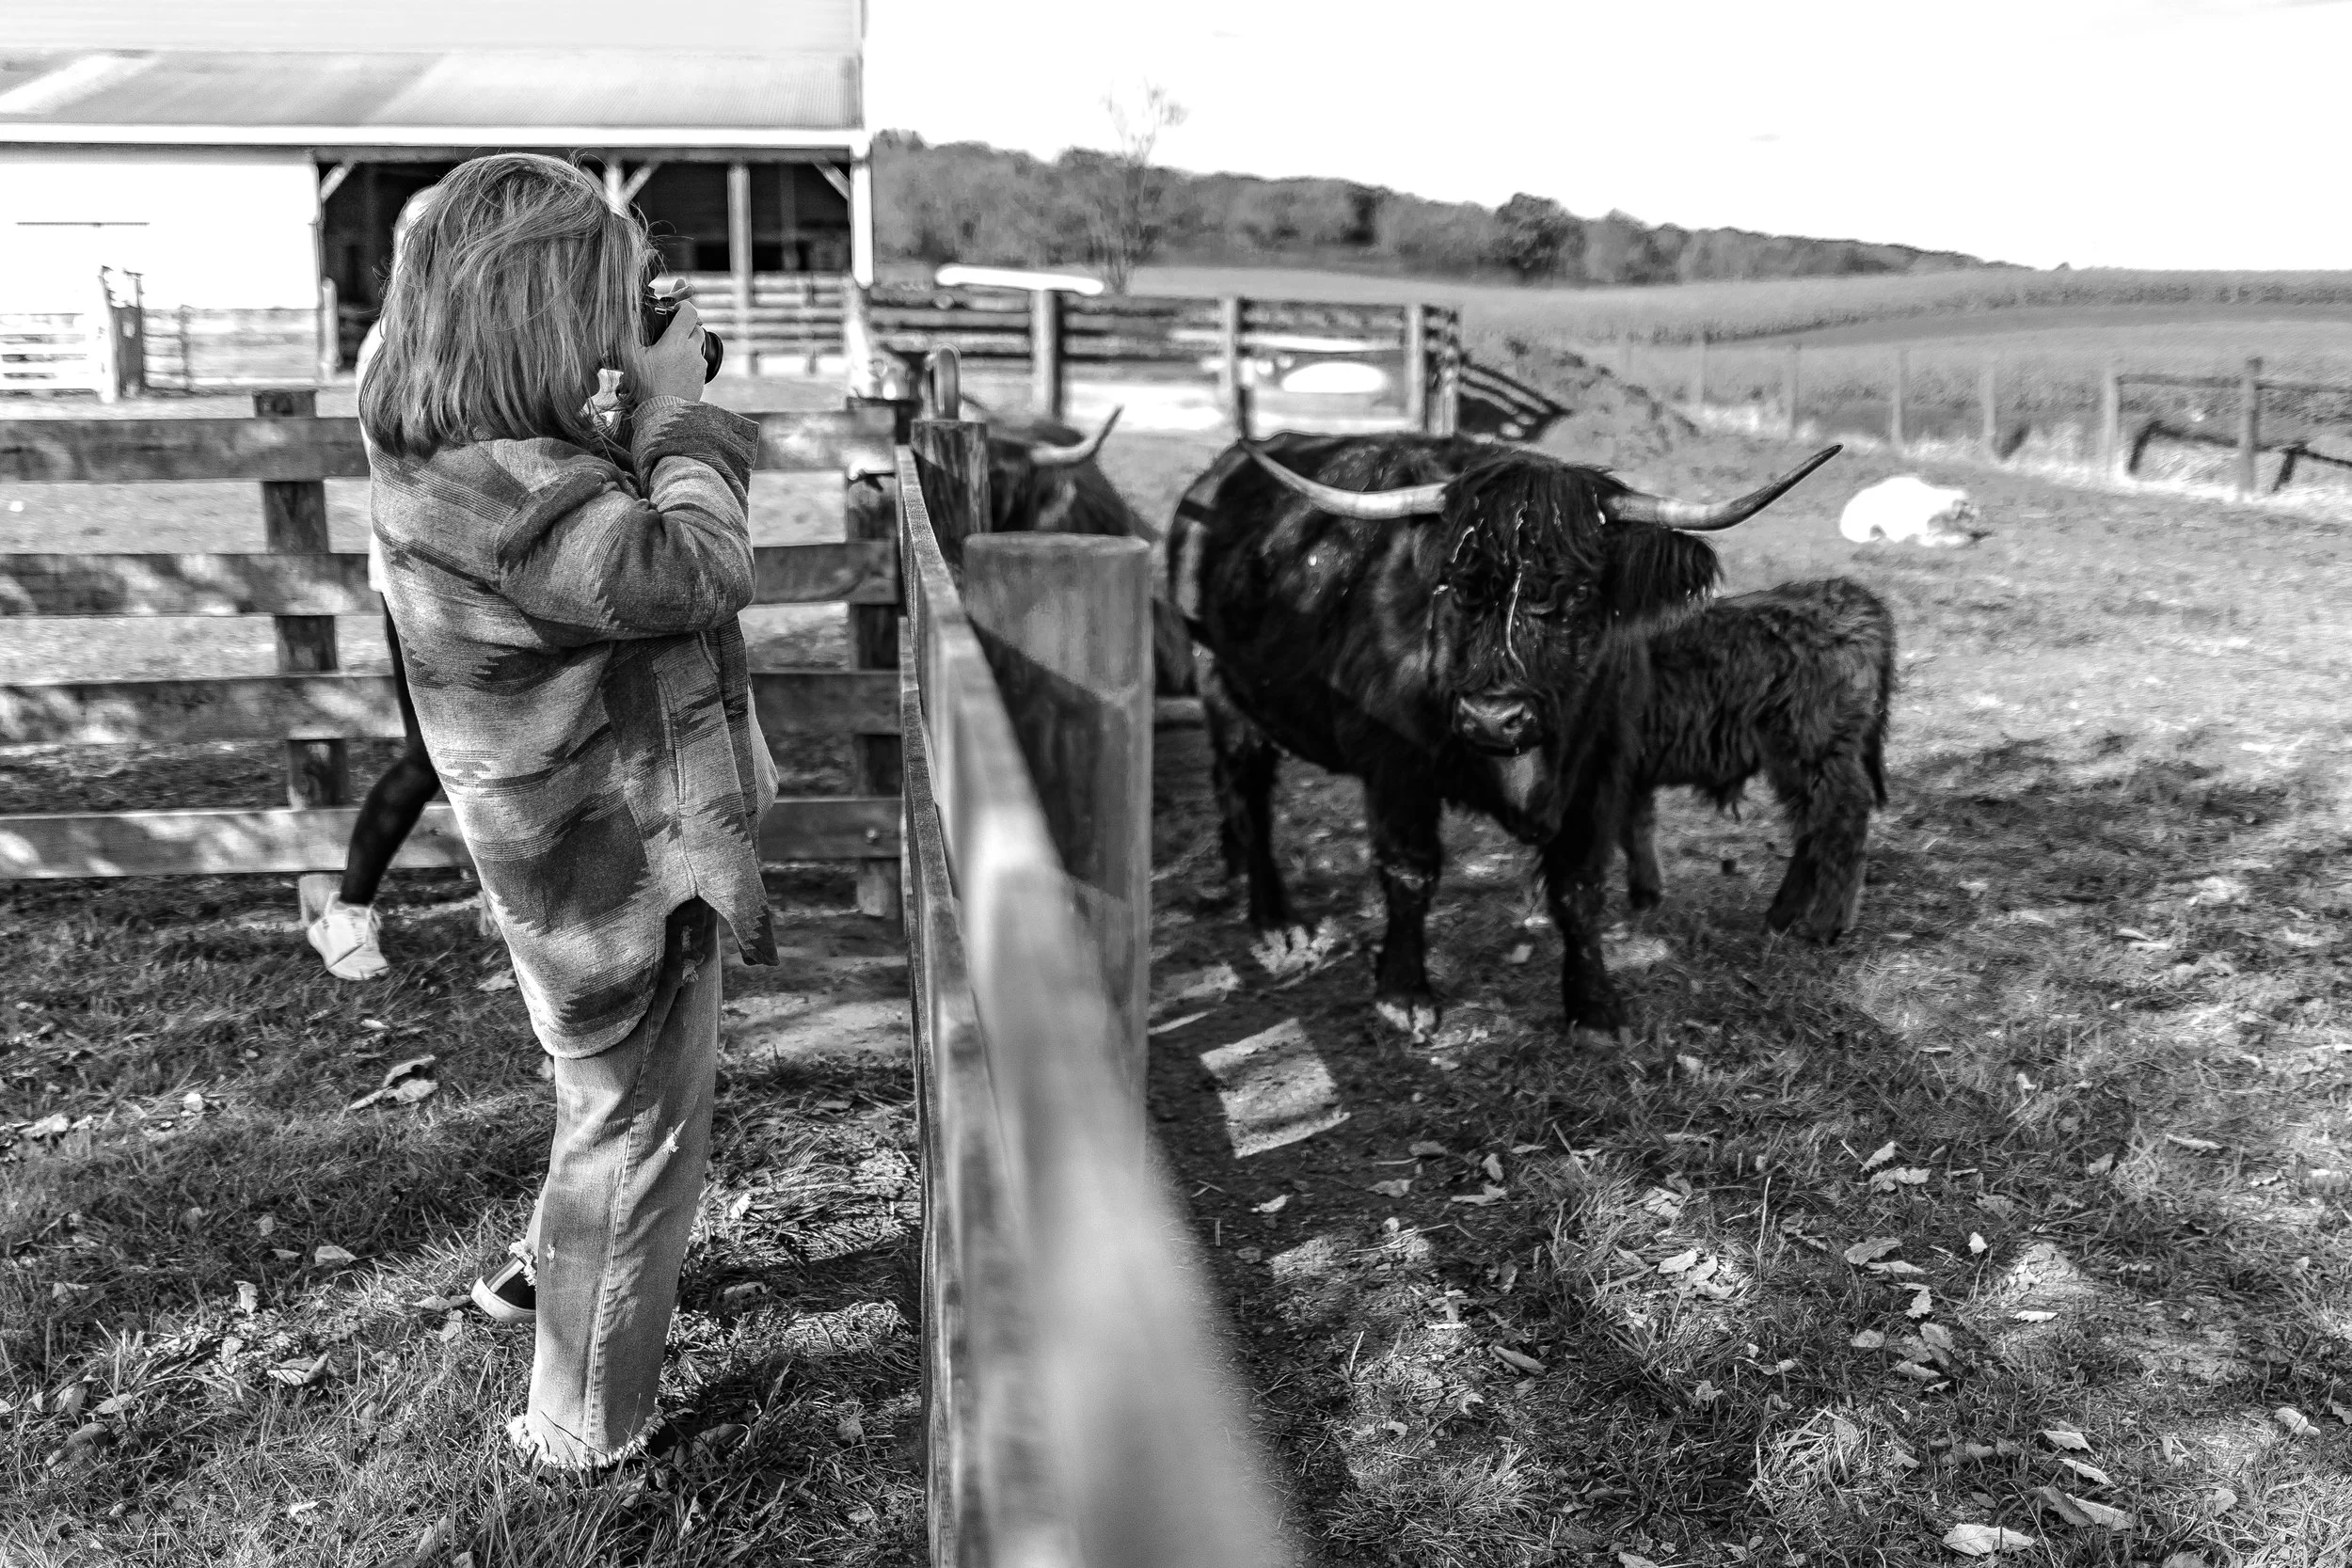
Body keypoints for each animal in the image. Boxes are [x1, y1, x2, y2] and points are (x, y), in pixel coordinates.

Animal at [1170, 433, 1842, 1034]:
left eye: (1578, 592)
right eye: (1454, 585)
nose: (1493, 718)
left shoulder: (1600, 768)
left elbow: (1578, 886)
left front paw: (1595, 1007)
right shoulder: (1396, 770)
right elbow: (1410, 872)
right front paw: (1403, 994)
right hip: (1221, 685)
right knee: (1248, 794)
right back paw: (1274, 921)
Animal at [1614, 578, 1894, 938]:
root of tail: (1850, 595)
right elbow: (1637, 826)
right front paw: (1646, 896)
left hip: (1811, 747)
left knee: (1840, 820)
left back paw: (1826, 924)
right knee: (1812, 827)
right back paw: (1782, 915)